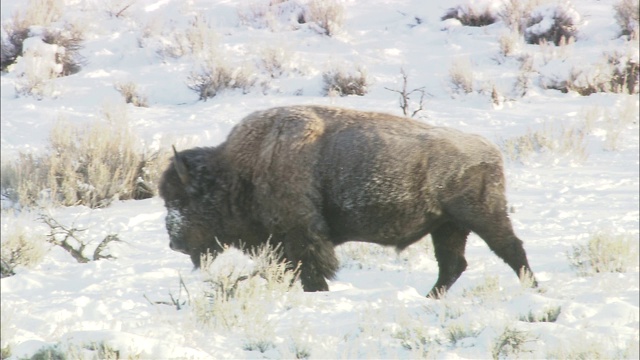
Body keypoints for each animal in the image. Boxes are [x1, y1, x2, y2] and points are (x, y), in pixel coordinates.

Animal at [159, 105, 536, 296]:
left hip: (481, 217)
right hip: (448, 226)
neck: (239, 170)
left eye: (184, 200)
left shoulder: (303, 236)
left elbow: (312, 268)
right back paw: (431, 297)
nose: (174, 242)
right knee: (453, 264)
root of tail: (489, 149)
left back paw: (532, 289)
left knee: (511, 249)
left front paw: (318, 292)